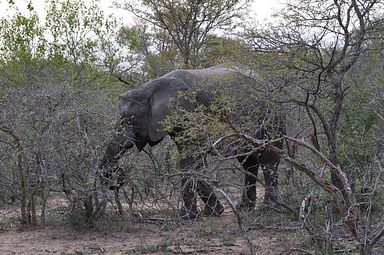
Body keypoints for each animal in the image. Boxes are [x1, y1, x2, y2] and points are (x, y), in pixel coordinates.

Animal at [99, 65, 284, 219]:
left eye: (128, 120)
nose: (118, 176)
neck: (152, 86)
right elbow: (195, 161)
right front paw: (213, 213)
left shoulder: (190, 112)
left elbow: (189, 161)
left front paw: (187, 217)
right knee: (248, 163)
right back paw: (244, 209)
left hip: (270, 117)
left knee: (268, 159)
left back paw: (269, 208)